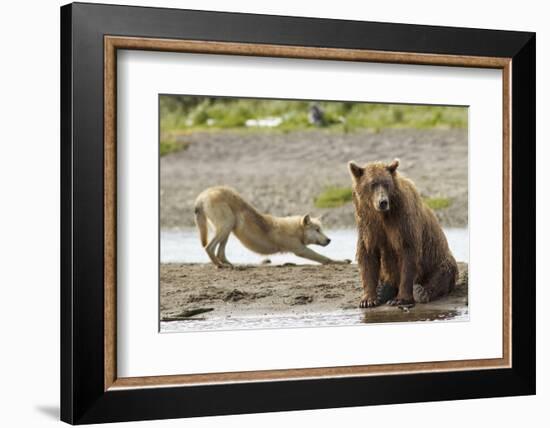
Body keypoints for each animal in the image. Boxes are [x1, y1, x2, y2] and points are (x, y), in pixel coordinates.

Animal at [350, 159, 462, 306]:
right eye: (372, 184)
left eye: (386, 183)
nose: (383, 202)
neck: (382, 215)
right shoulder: (368, 225)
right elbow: (368, 254)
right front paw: (368, 300)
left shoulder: (402, 219)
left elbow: (408, 252)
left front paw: (400, 299)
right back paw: (383, 290)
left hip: (438, 259)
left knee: (442, 274)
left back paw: (421, 292)